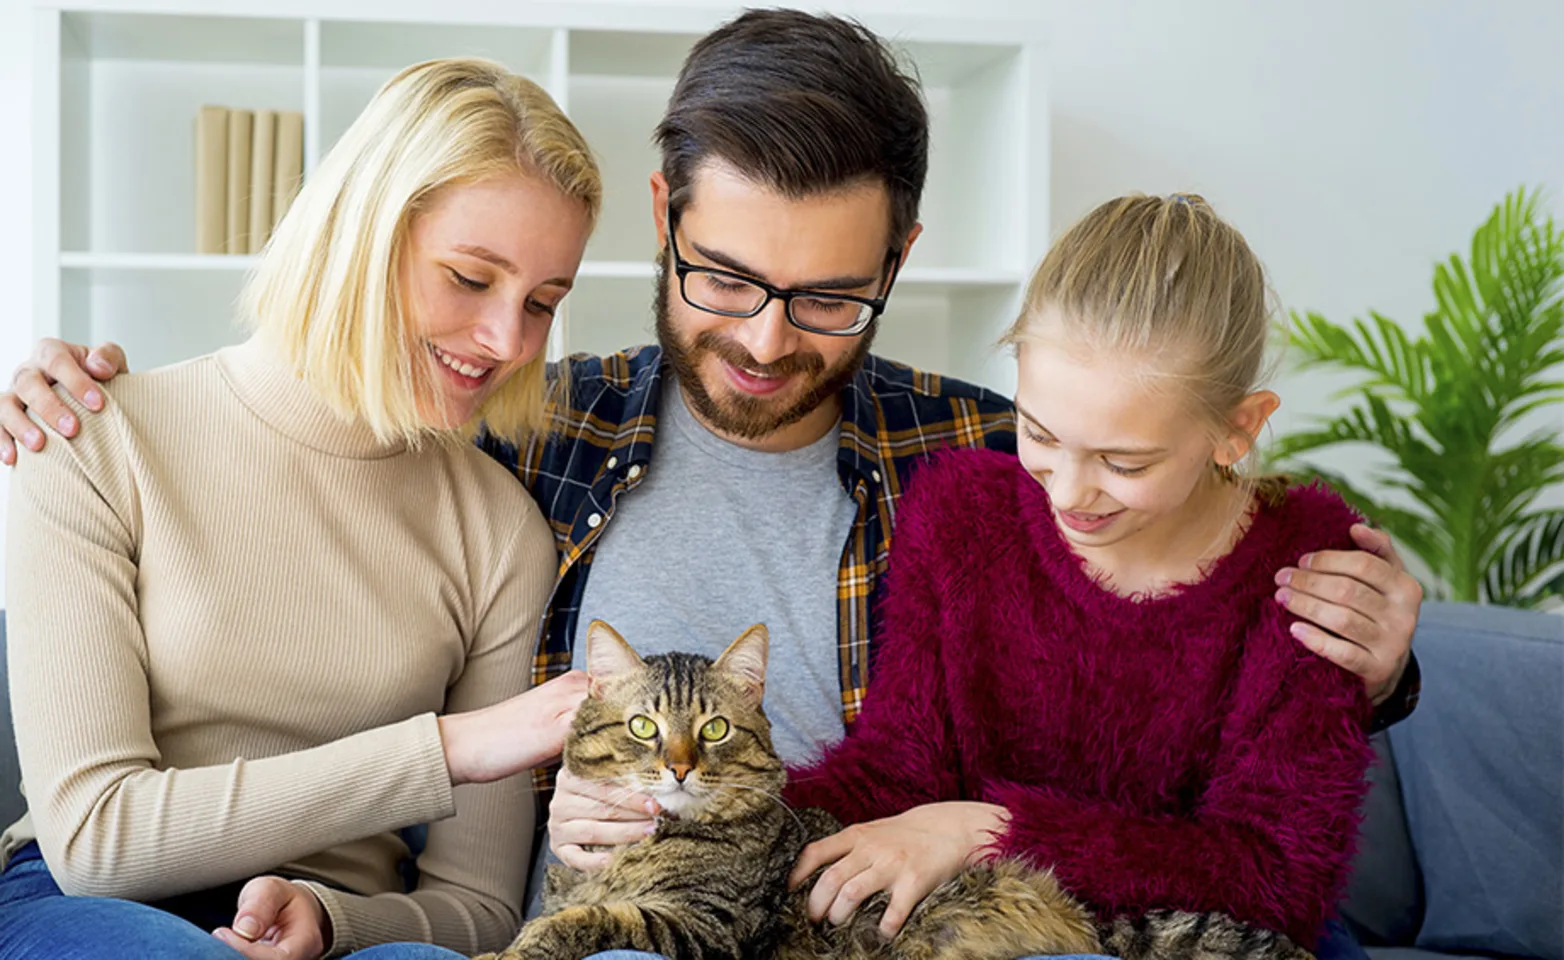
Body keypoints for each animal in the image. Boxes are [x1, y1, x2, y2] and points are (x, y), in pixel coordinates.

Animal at [475, 625, 1307, 960]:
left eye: (712, 730)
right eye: (645, 727)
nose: (678, 768)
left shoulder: (707, 930)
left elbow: (588, 921)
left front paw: (513, 950)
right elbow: (568, 910)